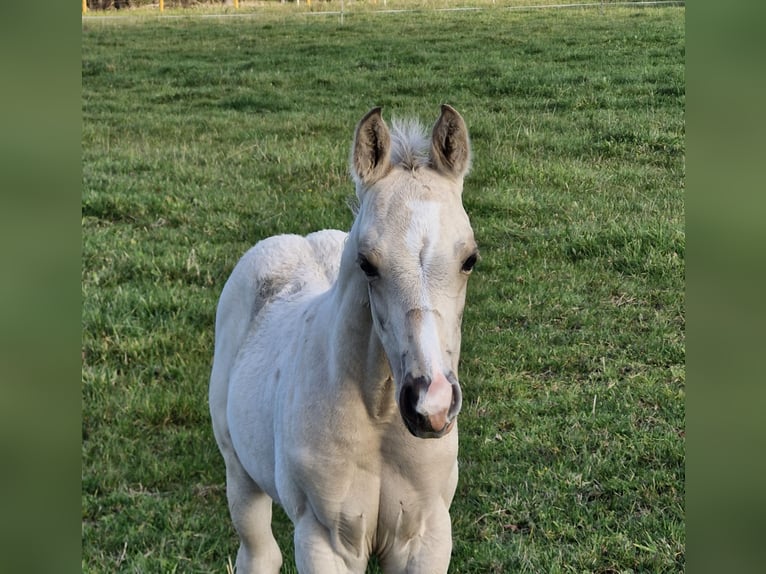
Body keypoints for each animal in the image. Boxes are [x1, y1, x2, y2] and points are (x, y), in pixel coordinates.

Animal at [207, 106, 476, 572]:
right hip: (240, 476)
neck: (379, 413)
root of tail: (294, 240)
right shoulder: (324, 539)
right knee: (259, 552)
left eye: (470, 259)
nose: (432, 405)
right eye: (366, 263)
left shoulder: (426, 534)